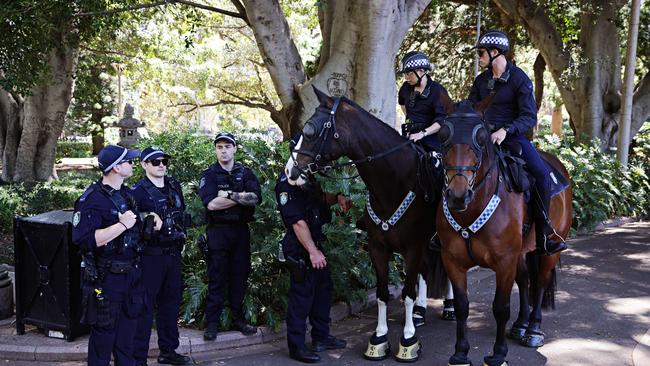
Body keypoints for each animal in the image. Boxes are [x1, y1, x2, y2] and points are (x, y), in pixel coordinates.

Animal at [284, 87, 446, 362]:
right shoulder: (377, 247)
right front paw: (379, 339)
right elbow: (382, 294)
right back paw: (420, 312)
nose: (289, 172)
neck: (393, 183)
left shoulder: (412, 248)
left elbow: (407, 293)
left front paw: (408, 340)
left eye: (310, 131)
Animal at [436, 101, 568, 366]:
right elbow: (462, 306)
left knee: (539, 283)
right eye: (444, 135)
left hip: (550, 250)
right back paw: (520, 325)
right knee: (525, 280)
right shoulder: (452, 260)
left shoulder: (504, 262)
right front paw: (461, 352)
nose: (457, 196)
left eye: (481, 137)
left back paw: (533, 329)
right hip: (522, 252)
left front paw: (498, 354)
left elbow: (501, 307)